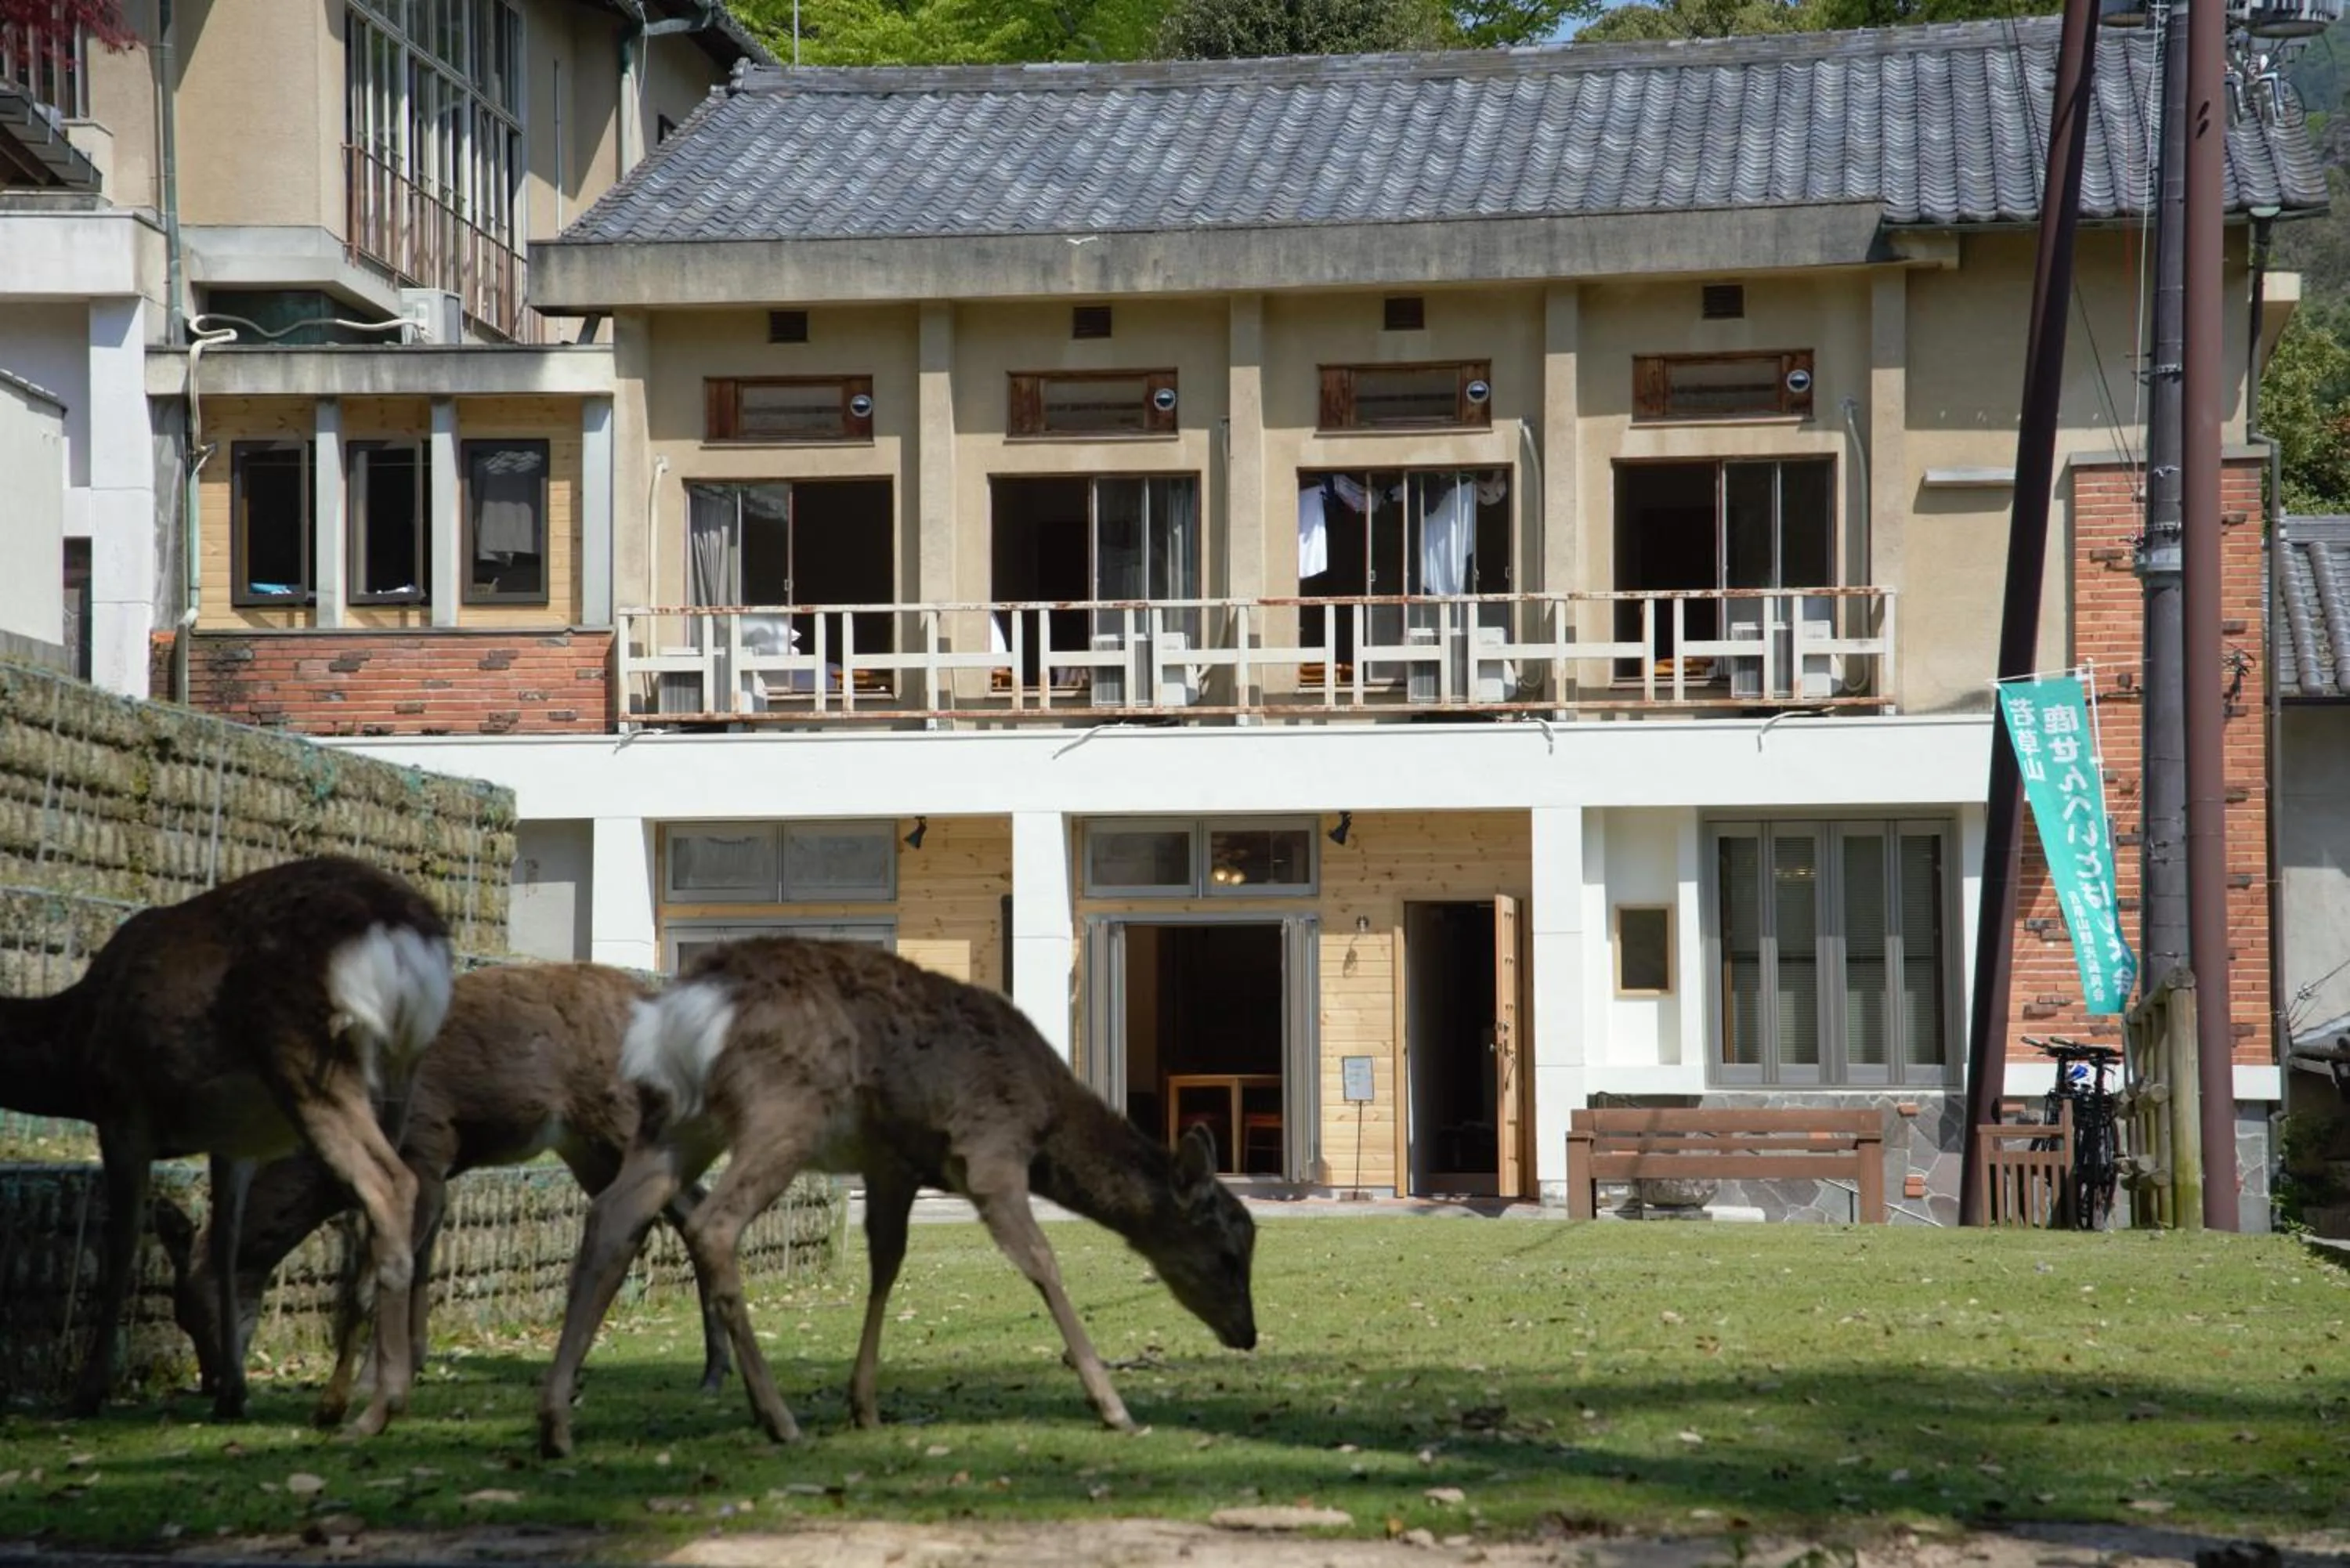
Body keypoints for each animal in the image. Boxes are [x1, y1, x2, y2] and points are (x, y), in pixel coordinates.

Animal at [0, 854, 452, 1435]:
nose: (211, 1379)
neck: (71, 1050)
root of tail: (408, 934)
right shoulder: (233, 1141)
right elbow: (225, 1243)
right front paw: (234, 1394)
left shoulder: (122, 1112)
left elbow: (122, 1244)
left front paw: (87, 1393)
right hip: (400, 1073)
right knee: (376, 1210)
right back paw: (338, 1400)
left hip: (306, 1052)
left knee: (387, 1184)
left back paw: (378, 1408)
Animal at [167, 961, 735, 1425]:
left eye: (191, 1309)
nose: (213, 1386)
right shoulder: (436, 1169)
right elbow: (418, 1264)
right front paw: (408, 1365)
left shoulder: (425, 1144)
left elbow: (380, 1275)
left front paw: (363, 1386)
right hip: (587, 1146)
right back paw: (705, 1369)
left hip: (620, 1122)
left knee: (678, 1209)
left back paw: (711, 1370)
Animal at [536, 935, 1260, 1458]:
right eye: (1228, 1251)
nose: (1248, 1333)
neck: (1046, 1122)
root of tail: (682, 1011)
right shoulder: (989, 1150)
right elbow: (1042, 1262)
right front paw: (1113, 1407)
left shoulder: (894, 1165)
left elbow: (887, 1263)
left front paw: (864, 1404)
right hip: (784, 1109)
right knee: (713, 1224)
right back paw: (777, 1418)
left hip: (677, 1120)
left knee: (613, 1214)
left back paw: (556, 1424)